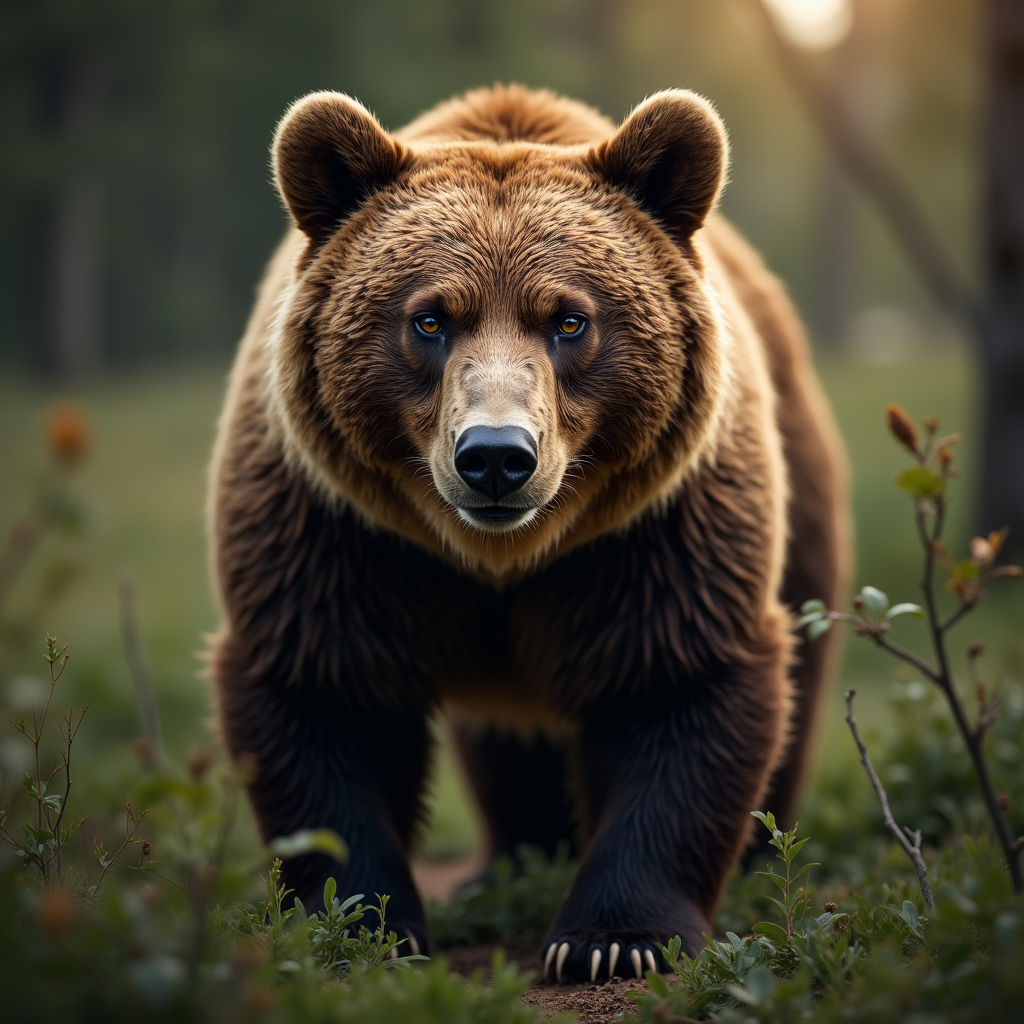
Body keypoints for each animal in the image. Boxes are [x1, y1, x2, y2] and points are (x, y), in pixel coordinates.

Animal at [208, 83, 849, 983]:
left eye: (569, 320)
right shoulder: (336, 531)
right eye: (430, 319)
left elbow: (673, 682)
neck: (498, 558)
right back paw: (508, 863)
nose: (496, 457)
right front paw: (363, 929)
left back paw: (760, 857)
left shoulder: (655, 532)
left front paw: (613, 941)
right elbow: (325, 693)